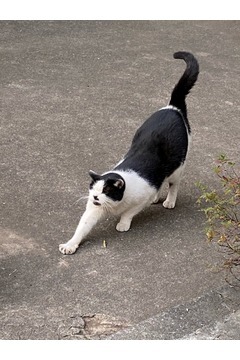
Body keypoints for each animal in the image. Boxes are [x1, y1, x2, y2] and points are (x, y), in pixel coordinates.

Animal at [59, 50, 199, 255]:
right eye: (94, 189)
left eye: (106, 190)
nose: (95, 197)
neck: (113, 205)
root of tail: (173, 107)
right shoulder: (93, 209)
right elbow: (81, 227)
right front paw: (70, 245)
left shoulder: (141, 199)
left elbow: (129, 212)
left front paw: (123, 224)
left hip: (177, 166)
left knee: (173, 184)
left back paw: (169, 201)